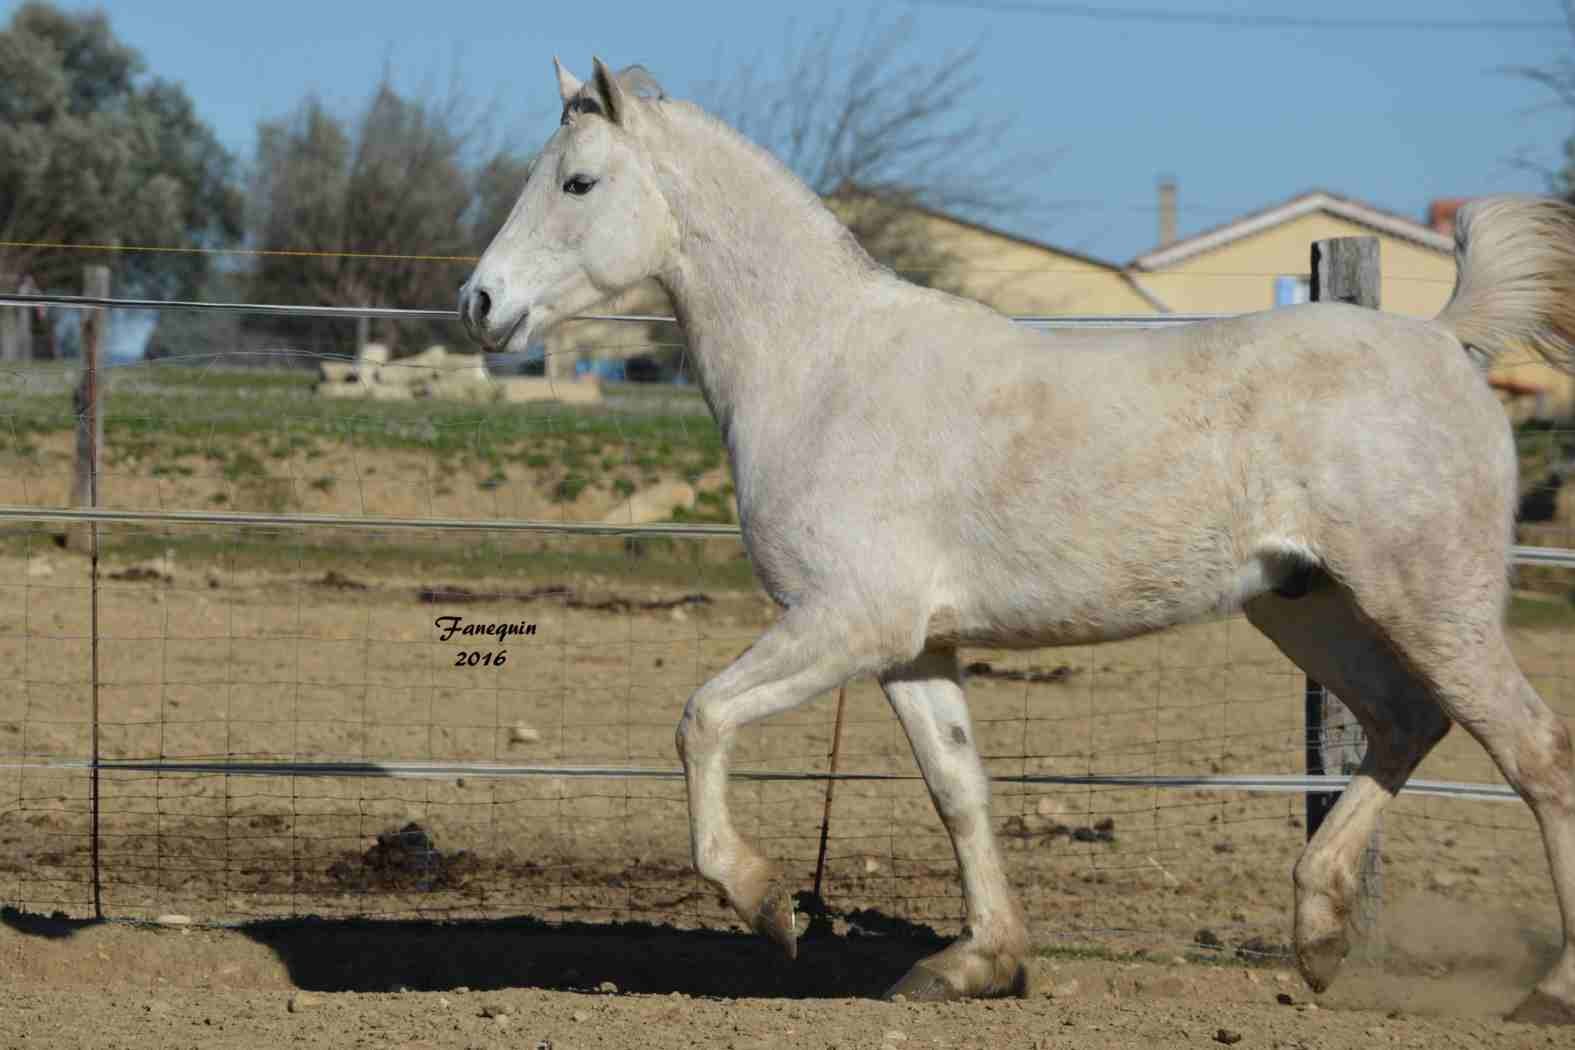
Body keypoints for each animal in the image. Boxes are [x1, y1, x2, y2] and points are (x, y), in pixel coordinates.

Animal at [459, 59, 1575, 1026]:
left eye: (578, 181)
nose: (480, 304)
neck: (822, 367)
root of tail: (1444, 338)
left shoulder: (848, 622)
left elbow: (702, 719)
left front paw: (768, 905)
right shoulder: (913, 648)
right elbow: (959, 790)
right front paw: (975, 965)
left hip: (1428, 604)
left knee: (1533, 751)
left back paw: (1546, 991)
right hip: (1309, 607)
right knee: (1404, 724)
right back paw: (1317, 935)